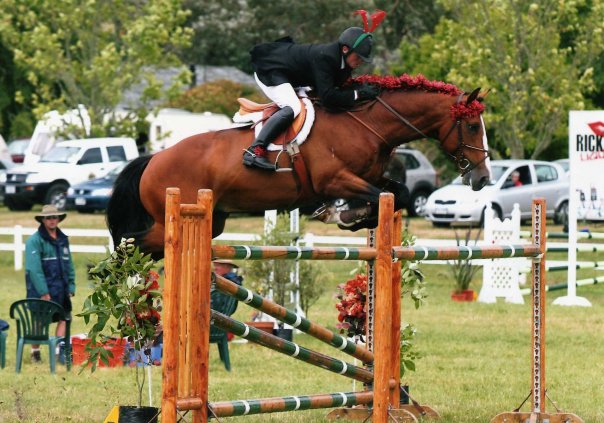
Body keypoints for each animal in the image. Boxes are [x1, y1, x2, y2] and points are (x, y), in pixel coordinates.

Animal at [107, 74, 490, 256]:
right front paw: (343, 215)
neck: (367, 123)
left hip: (211, 221)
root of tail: (153, 159)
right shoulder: (334, 180)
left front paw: (352, 218)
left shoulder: (370, 177)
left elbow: (397, 193)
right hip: (172, 216)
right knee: (129, 242)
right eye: (472, 125)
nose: (484, 178)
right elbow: (376, 196)